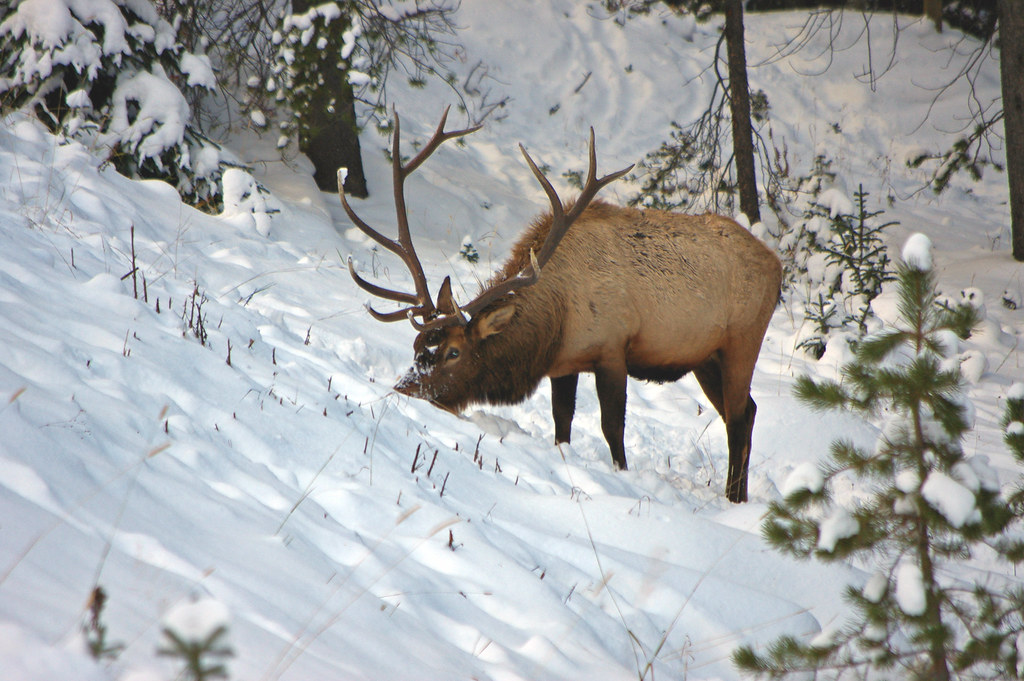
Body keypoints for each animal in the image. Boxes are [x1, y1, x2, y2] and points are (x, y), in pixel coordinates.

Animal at [340, 108, 782, 503]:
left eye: (453, 352)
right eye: (417, 346)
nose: (403, 389)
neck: (555, 319)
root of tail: (776, 265)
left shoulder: (612, 349)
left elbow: (612, 428)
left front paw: (621, 474)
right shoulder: (564, 365)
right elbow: (561, 425)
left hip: (743, 340)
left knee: (739, 418)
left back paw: (734, 501)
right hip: (704, 357)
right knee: (747, 411)